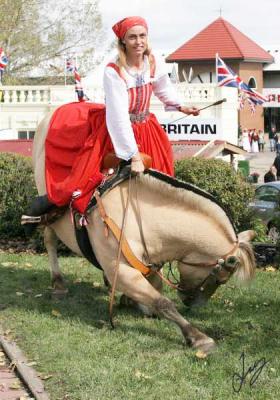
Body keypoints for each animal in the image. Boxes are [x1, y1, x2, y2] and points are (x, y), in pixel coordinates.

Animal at [32, 111, 256, 354]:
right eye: (219, 279)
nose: (192, 303)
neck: (140, 213)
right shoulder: (121, 270)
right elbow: (162, 302)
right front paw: (197, 336)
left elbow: (154, 294)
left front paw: (130, 301)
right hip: (50, 211)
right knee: (50, 238)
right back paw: (58, 283)